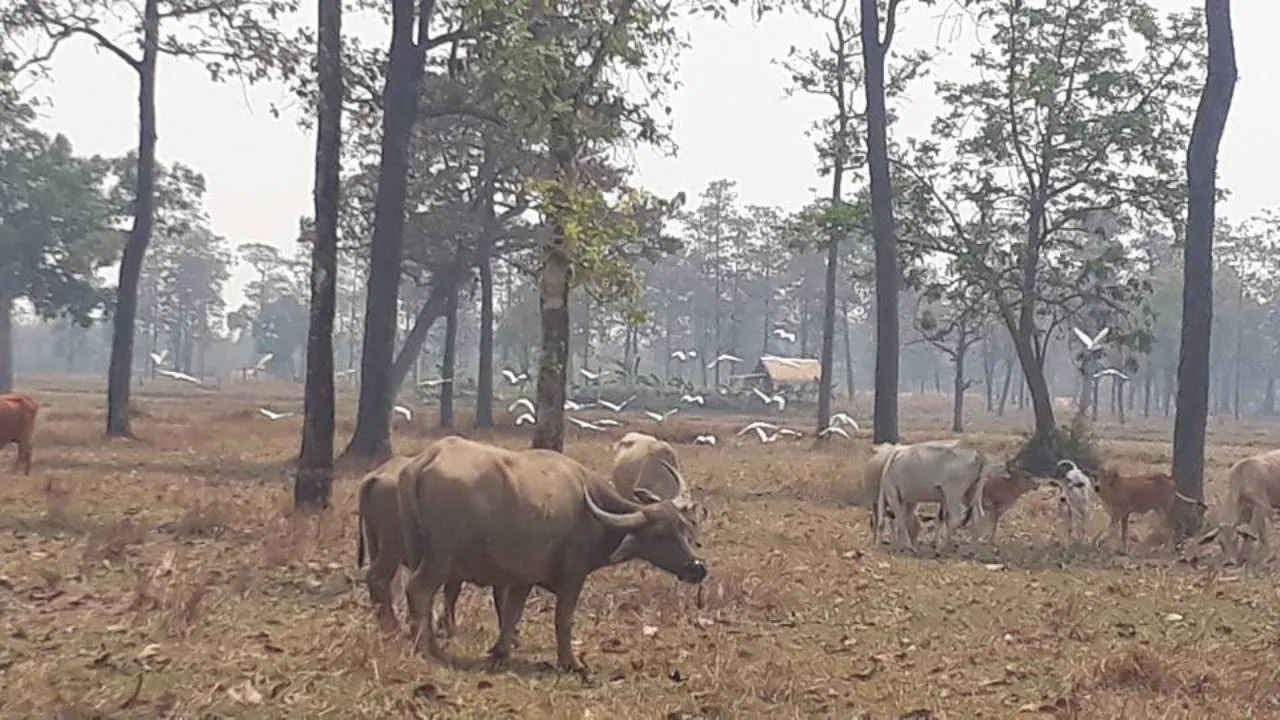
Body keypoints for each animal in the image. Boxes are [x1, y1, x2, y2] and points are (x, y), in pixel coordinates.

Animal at [397, 435, 707, 672]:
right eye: (659, 534)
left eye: (685, 527)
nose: (697, 567)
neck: (591, 514)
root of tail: (427, 458)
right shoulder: (573, 575)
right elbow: (563, 619)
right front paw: (571, 662)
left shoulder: (521, 579)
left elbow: (511, 614)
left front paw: (501, 651)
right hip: (440, 558)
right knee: (419, 590)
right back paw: (427, 648)